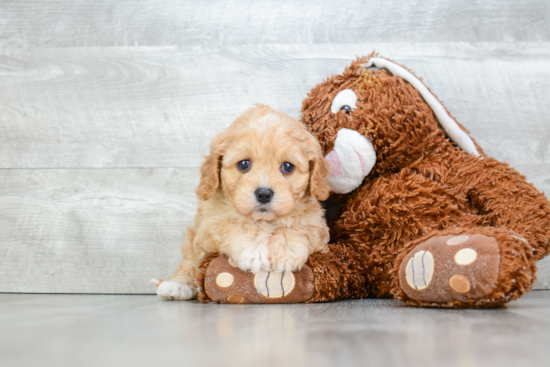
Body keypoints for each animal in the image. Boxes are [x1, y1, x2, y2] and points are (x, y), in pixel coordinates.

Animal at [152, 105, 332, 300]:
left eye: (287, 167)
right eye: (244, 164)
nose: (263, 194)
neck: (264, 221)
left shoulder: (316, 225)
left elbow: (296, 228)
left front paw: (285, 250)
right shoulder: (210, 224)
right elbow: (236, 225)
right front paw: (254, 250)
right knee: (189, 263)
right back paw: (176, 285)